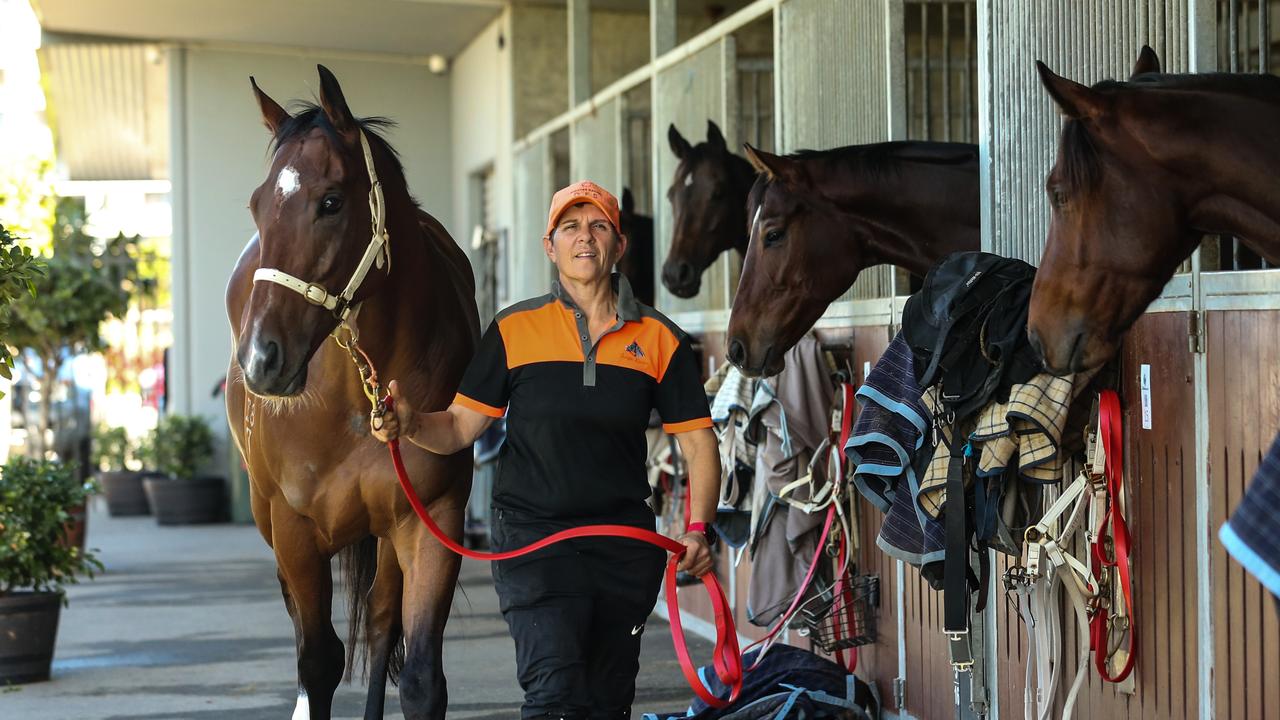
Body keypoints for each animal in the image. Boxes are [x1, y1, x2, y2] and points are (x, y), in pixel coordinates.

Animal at [222, 64, 478, 712]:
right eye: (256, 205)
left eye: (330, 202)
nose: (260, 360)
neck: (353, 401)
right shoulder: (292, 527)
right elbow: (317, 661)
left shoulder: (432, 519)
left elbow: (419, 674)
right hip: (268, 516)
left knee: (383, 621)